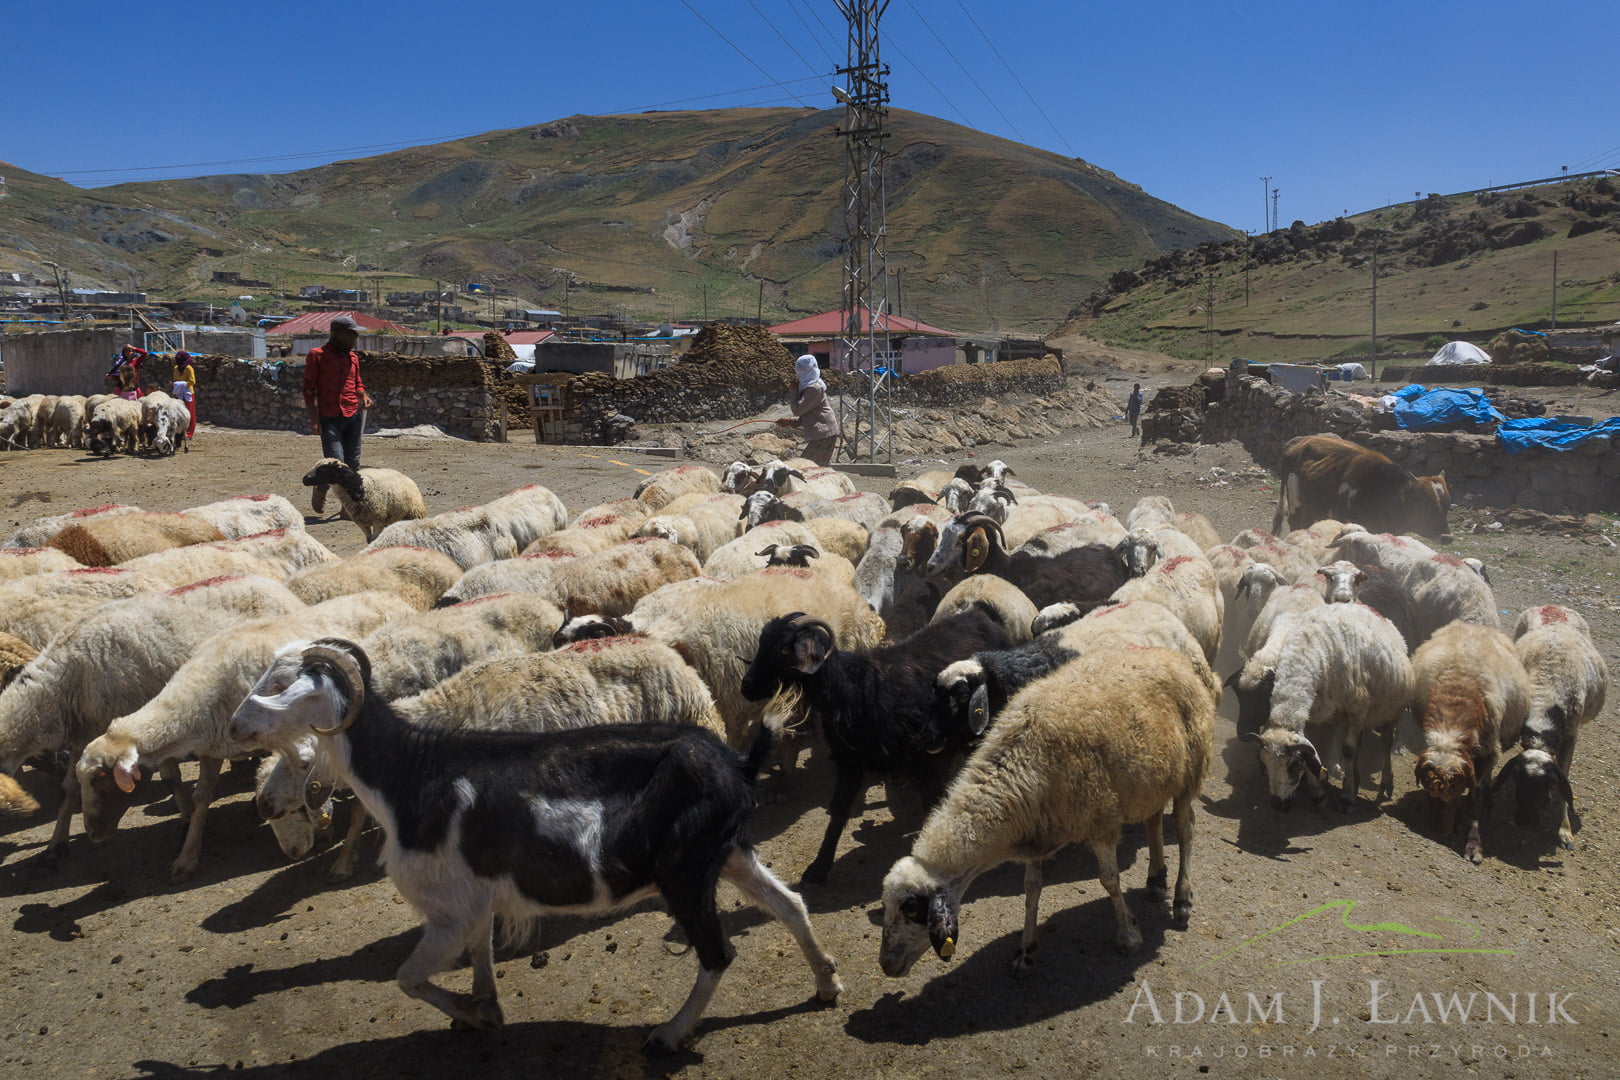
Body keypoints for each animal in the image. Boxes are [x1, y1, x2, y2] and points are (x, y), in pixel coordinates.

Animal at [738, 608, 1010, 887]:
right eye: (762, 642)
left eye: (784, 650)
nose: (746, 686)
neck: (851, 691)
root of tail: (981, 616)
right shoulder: (850, 762)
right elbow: (838, 813)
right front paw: (818, 869)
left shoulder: (919, 760)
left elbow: (930, 804)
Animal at [881, 641, 1211, 971]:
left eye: (912, 910)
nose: (886, 965)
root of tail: (1169, 656)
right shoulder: (1036, 831)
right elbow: (1031, 888)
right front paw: (1026, 951)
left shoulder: (1100, 823)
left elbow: (1110, 880)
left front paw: (1128, 935)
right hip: (1155, 777)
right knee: (1153, 820)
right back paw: (1156, 880)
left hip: (1190, 768)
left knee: (1185, 829)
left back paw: (1182, 899)